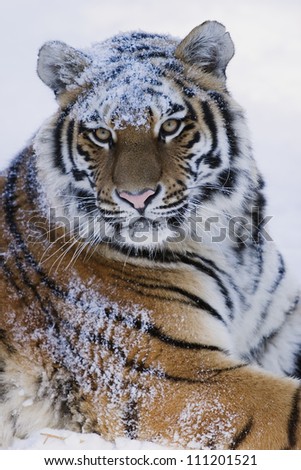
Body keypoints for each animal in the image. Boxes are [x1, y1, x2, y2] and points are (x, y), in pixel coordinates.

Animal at [0, 20, 300, 450]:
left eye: (170, 126)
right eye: (101, 134)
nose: (136, 197)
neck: (230, 243)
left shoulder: (277, 329)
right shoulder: (171, 374)